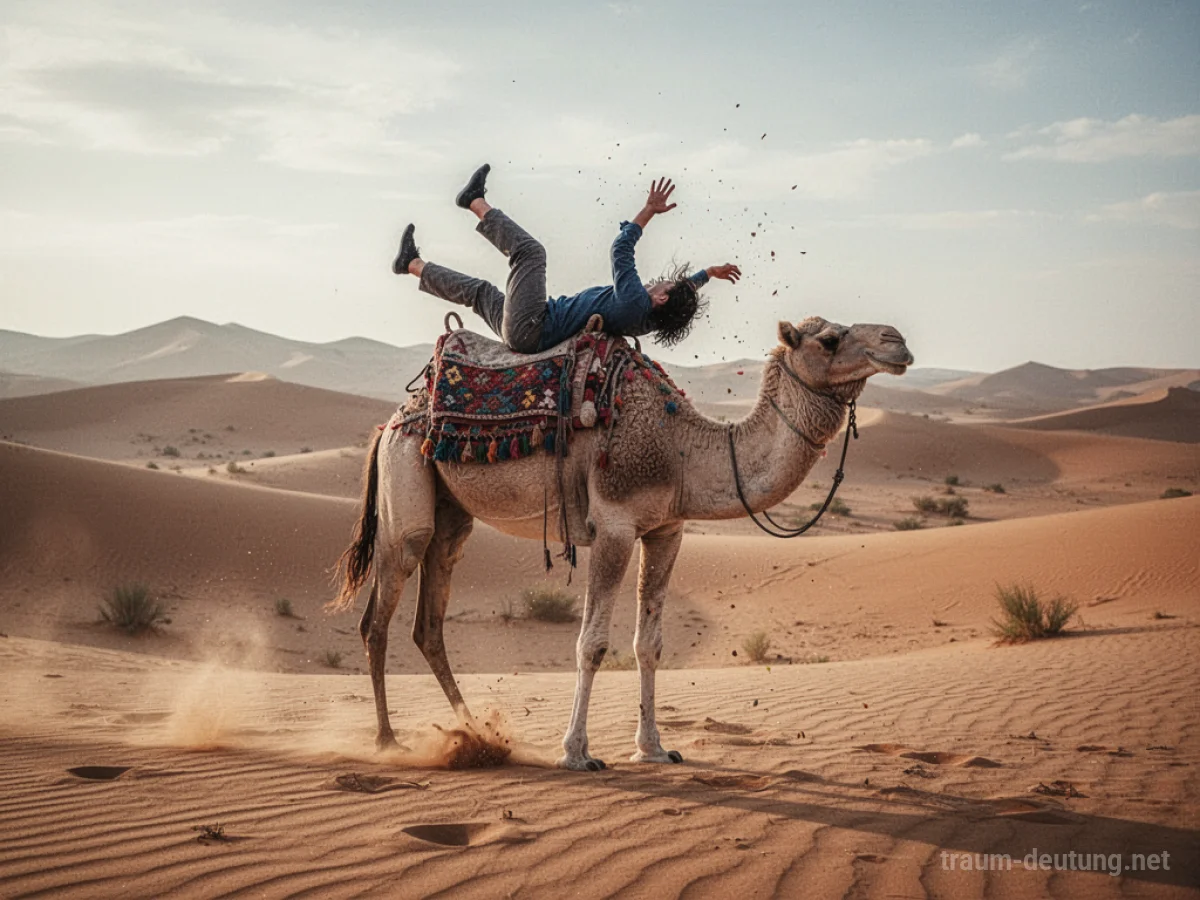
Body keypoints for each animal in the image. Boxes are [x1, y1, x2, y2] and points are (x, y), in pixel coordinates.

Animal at [334, 316, 912, 770]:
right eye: (830, 339)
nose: (898, 341)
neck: (682, 450)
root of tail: (389, 423)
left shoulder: (665, 530)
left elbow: (648, 644)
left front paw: (654, 748)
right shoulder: (612, 524)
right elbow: (591, 644)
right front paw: (577, 752)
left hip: (452, 515)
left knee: (428, 624)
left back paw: (476, 736)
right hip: (406, 485)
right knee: (378, 617)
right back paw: (388, 741)